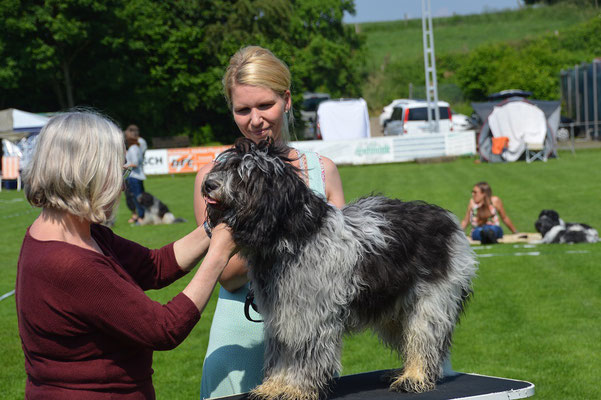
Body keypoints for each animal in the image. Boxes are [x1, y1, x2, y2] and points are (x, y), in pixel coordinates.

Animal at [202, 138, 478, 400]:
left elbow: (303, 356)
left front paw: (295, 388)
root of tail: (449, 220)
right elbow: (281, 353)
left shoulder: (310, 316)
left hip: (432, 301)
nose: (207, 184)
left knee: (424, 340)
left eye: (242, 173)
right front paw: (273, 386)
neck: (296, 235)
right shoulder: (282, 315)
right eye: (224, 166)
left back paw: (415, 376)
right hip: (394, 307)